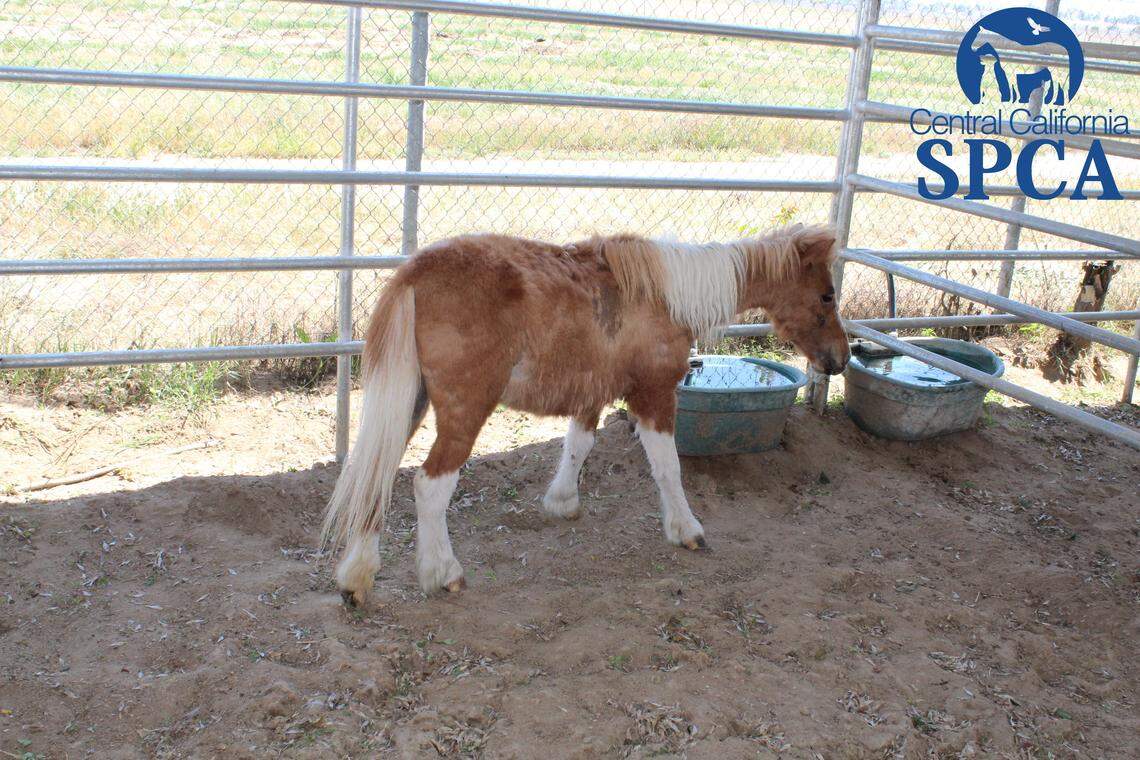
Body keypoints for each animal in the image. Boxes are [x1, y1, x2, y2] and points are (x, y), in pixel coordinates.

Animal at [323, 223, 850, 605]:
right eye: (827, 294)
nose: (840, 360)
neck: (665, 295)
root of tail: (416, 271)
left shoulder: (591, 395)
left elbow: (579, 446)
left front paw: (562, 503)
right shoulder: (654, 396)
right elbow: (667, 466)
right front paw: (686, 531)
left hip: (410, 403)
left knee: (376, 475)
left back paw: (356, 580)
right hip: (463, 411)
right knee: (429, 485)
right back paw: (443, 573)